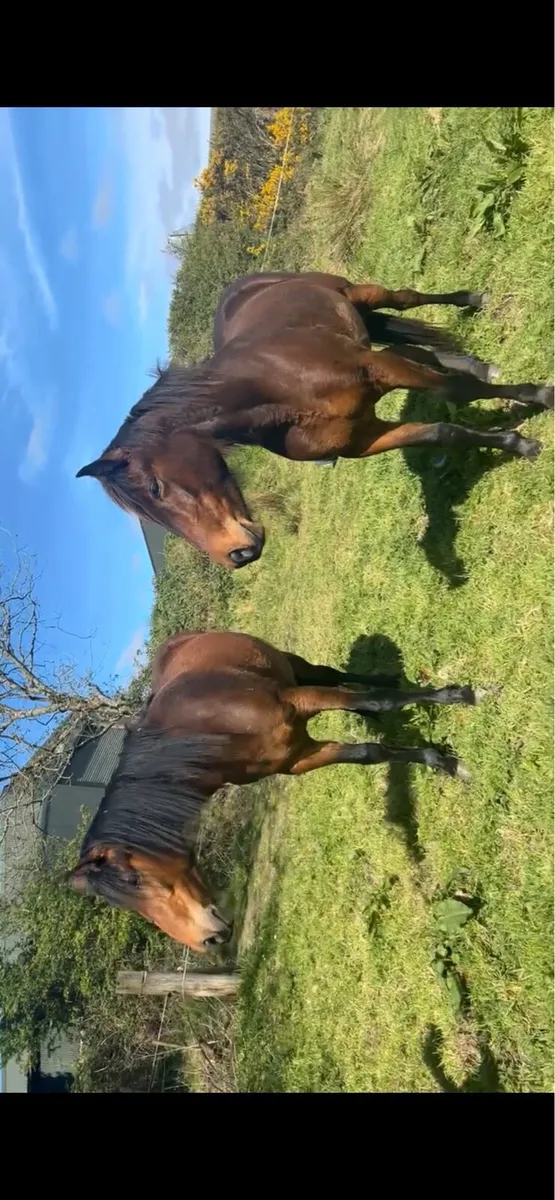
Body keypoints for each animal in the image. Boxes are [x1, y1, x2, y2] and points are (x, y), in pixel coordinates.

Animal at [67, 628, 487, 951]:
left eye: (134, 880)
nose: (208, 941)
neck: (208, 723)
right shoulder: (297, 757)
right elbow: (370, 752)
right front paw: (440, 760)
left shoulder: (298, 701)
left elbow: (377, 701)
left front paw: (462, 697)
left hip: (293, 666)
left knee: (334, 675)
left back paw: (390, 682)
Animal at [76, 270, 553, 569]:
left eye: (155, 489)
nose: (236, 556)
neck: (277, 389)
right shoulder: (365, 437)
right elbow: (442, 431)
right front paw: (517, 443)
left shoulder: (378, 369)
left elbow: (454, 393)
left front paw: (537, 399)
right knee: (418, 349)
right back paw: (479, 364)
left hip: (358, 294)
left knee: (406, 300)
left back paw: (473, 301)